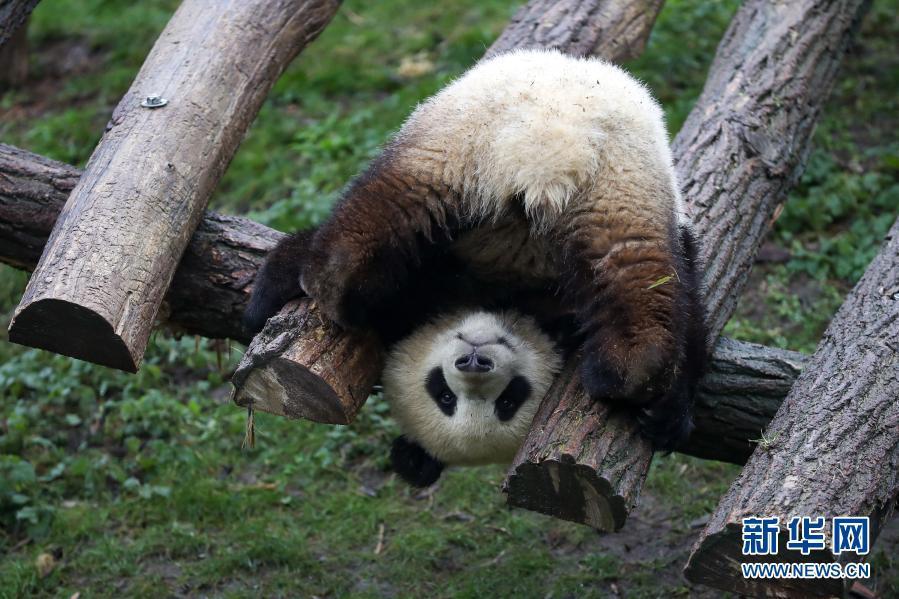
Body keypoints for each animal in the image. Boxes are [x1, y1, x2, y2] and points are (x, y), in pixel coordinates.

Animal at [246, 49, 712, 490]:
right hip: (514, 159)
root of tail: (546, 156)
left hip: (488, 149)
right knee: (634, 269)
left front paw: (668, 418)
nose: (473, 360)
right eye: (443, 394)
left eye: (508, 400)